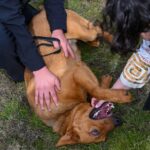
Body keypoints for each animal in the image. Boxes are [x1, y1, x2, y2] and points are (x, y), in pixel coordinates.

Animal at [24, 9, 131, 146]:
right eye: (97, 134)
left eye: (94, 132)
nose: (119, 121)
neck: (66, 112)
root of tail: (39, 12)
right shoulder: (80, 72)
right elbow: (97, 93)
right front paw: (106, 82)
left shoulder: (76, 72)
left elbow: (95, 90)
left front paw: (123, 96)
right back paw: (96, 42)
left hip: (83, 32)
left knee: (97, 28)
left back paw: (117, 41)